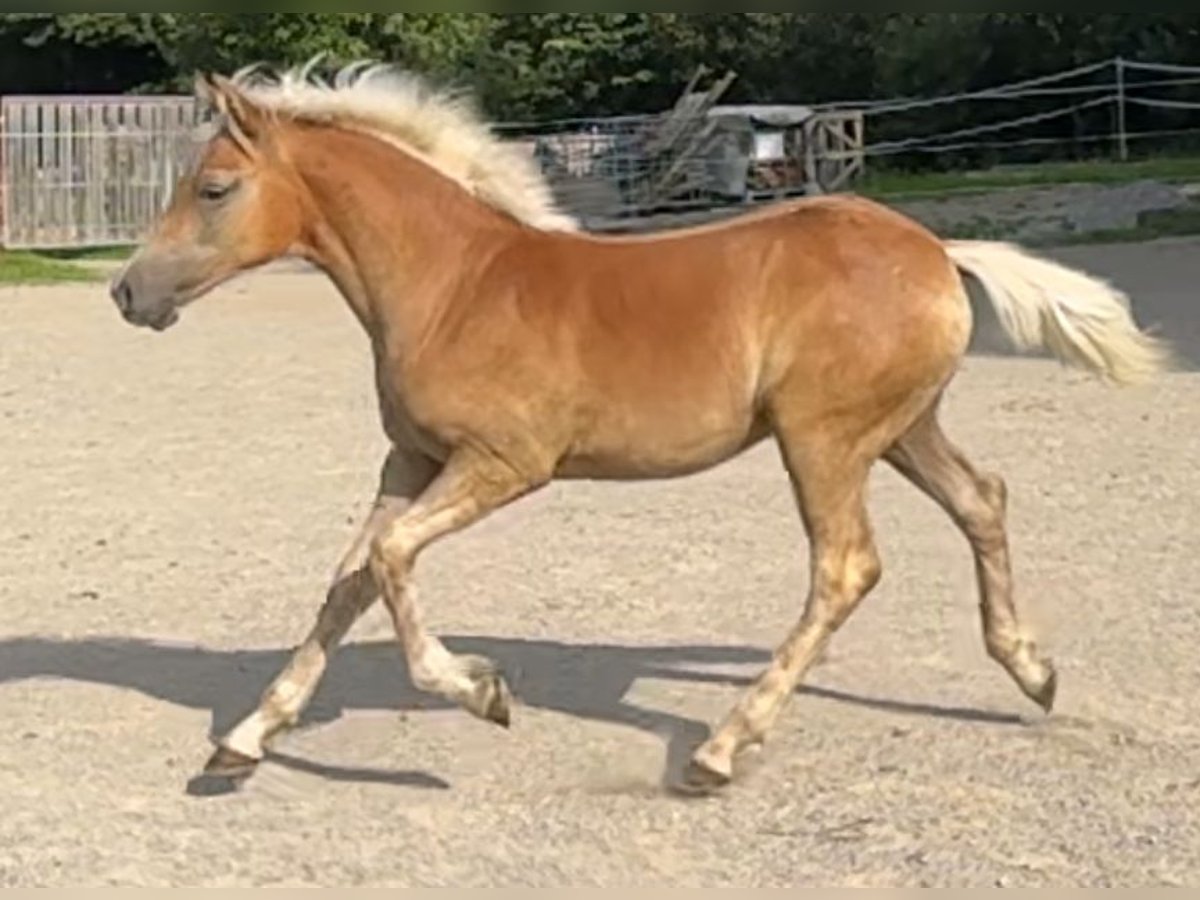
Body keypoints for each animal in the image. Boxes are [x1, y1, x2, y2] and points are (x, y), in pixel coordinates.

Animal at [108, 65, 1166, 796]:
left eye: (213, 189)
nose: (126, 292)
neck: (454, 283)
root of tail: (938, 251)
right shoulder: (409, 458)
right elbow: (350, 581)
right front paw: (243, 741)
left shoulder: (503, 463)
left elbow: (396, 561)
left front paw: (480, 691)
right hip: (900, 429)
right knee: (981, 500)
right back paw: (1033, 672)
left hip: (823, 438)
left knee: (846, 568)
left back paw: (720, 751)